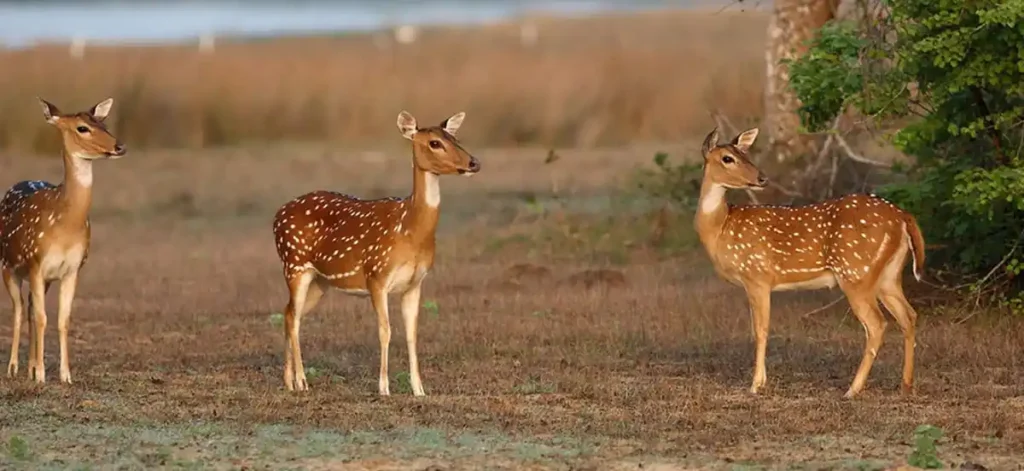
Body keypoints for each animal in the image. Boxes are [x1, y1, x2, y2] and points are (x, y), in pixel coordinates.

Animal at [2, 97, 126, 384]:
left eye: (103, 123)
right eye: (82, 128)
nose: (119, 146)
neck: (64, 226)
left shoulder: (72, 268)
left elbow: (62, 319)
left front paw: (64, 375)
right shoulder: (35, 262)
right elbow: (42, 317)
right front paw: (41, 376)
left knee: (29, 309)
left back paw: (29, 367)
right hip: (7, 266)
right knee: (18, 309)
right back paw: (13, 368)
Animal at [272, 110, 479, 393]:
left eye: (455, 137)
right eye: (435, 143)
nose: (473, 163)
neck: (410, 229)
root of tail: (276, 216)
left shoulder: (415, 283)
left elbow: (412, 333)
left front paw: (419, 390)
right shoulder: (377, 275)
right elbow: (385, 330)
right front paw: (384, 388)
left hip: (320, 281)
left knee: (289, 313)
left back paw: (289, 381)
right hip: (294, 264)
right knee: (293, 317)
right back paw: (302, 382)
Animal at [696, 127, 929, 397]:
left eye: (744, 154)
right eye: (728, 158)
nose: (762, 178)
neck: (721, 228)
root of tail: (903, 217)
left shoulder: (757, 275)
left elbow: (761, 330)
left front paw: (755, 385)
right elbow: (759, 329)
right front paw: (761, 381)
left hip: (855, 272)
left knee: (877, 324)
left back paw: (852, 389)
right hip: (888, 275)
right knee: (908, 316)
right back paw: (905, 385)